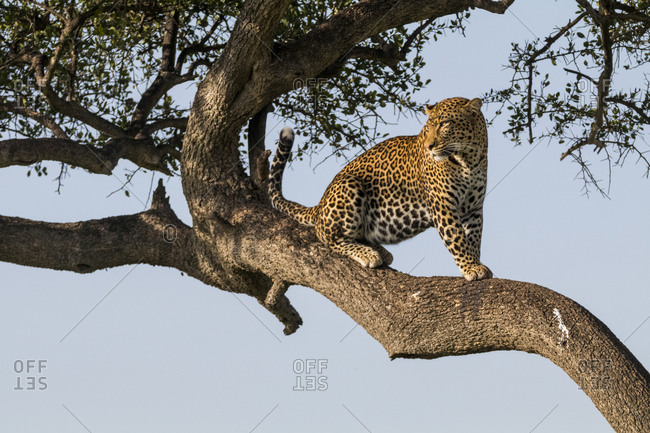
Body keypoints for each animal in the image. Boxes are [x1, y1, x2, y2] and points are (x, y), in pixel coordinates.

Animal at [268, 96, 492, 282]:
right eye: (427, 129)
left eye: (445, 124)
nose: (429, 147)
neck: (469, 160)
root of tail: (320, 205)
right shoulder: (443, 205)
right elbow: (457, 238)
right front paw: (471, 268)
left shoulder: (473, 209)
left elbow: (474, 238)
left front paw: (475, 263)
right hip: (349, 186)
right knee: (331, 239)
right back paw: (368, 254)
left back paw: (379, 251)